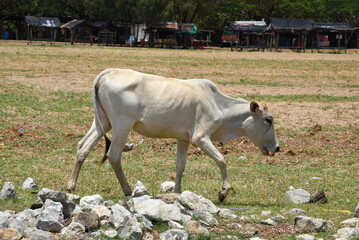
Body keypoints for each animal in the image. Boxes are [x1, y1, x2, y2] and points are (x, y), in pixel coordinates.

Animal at [67, 68, 282, 202]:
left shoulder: (183, 139)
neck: (219, 105)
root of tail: (108, 72)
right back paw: (128, 191)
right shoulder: (200, 138)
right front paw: (223, 192)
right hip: (122, 125)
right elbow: (221, 160)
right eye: (268, 119)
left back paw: (71, 187)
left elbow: (180, 166)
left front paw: (177, 194)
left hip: (102, 122)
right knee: (114, 155)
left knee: (83, 147)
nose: (277, 148)